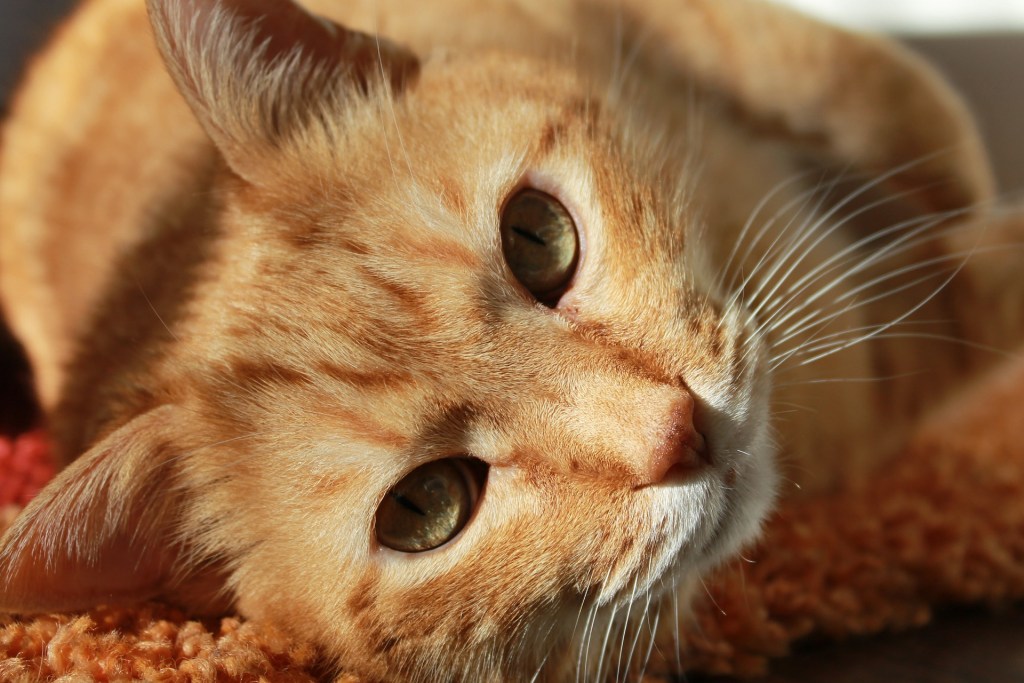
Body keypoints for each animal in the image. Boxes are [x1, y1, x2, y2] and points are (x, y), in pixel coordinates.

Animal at [0, 0, 1003, 679]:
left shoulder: (685, 29)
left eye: (536, 236)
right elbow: (971, 295)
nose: (677, 430)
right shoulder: (872, 372)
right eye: (427, 505)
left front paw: (953, 180)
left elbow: (881, 94)